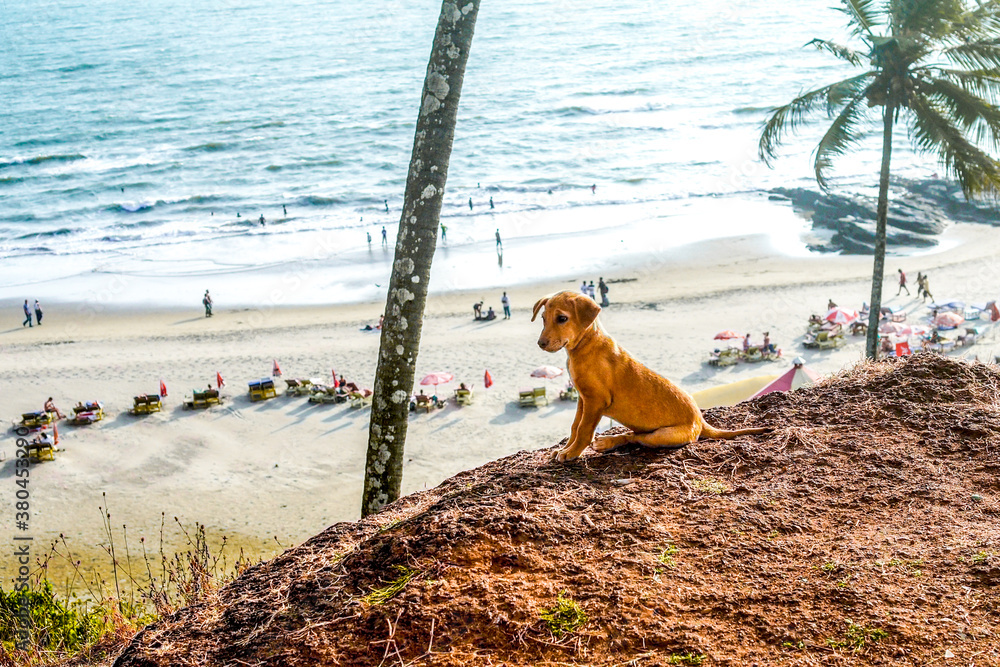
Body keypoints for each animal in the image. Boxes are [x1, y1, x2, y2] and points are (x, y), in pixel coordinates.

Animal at [536, 290, 768, 462]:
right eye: (543, 319)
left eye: (562, 319)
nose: (540, 343)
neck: (586, 346)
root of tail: (701, 421)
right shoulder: (583, 399)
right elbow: (575, 426)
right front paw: (566, 448)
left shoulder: (595, 401)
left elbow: (584, 430)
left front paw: (572, 453)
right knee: (633, 435)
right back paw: (608, 442)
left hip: (662, 435)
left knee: (636, 437)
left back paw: (609, 442)